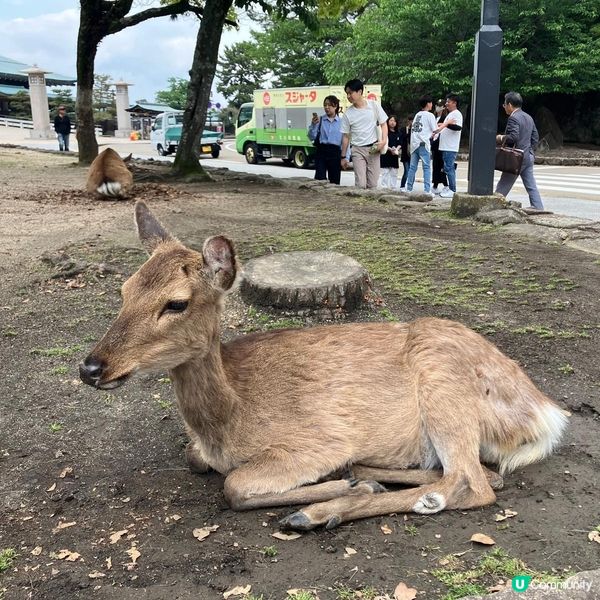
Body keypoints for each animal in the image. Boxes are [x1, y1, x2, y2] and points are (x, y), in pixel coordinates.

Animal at [78, 202, 568, 528]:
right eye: (124, 290)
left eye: (176, 303)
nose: (91, 367)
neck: (228, 423)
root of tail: (547, 414)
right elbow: (194, 458)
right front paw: (349, 480)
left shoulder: (318, 439)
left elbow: (233, 484)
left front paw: (330, 490)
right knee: (482, 475)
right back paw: (361, 476)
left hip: (444, 386)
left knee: (473, 483)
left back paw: (321, 510)